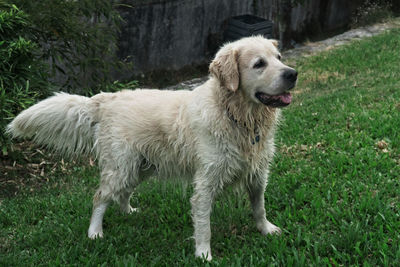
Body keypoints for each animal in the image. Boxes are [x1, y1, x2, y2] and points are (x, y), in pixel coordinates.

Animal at [7, 35, 296, 262]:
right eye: (259, 64)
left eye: (279, 57)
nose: (292, 73)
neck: (237, 115)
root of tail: (108, 98)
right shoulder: (207, 180)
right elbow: (204, 223)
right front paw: (204, 254)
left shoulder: (258, 173)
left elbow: (259, 206)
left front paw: (266, 229)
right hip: (121, 167)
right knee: (100, 197)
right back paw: (95, 232)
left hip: (140, 166)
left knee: (123, 194)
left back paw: (129, 212)